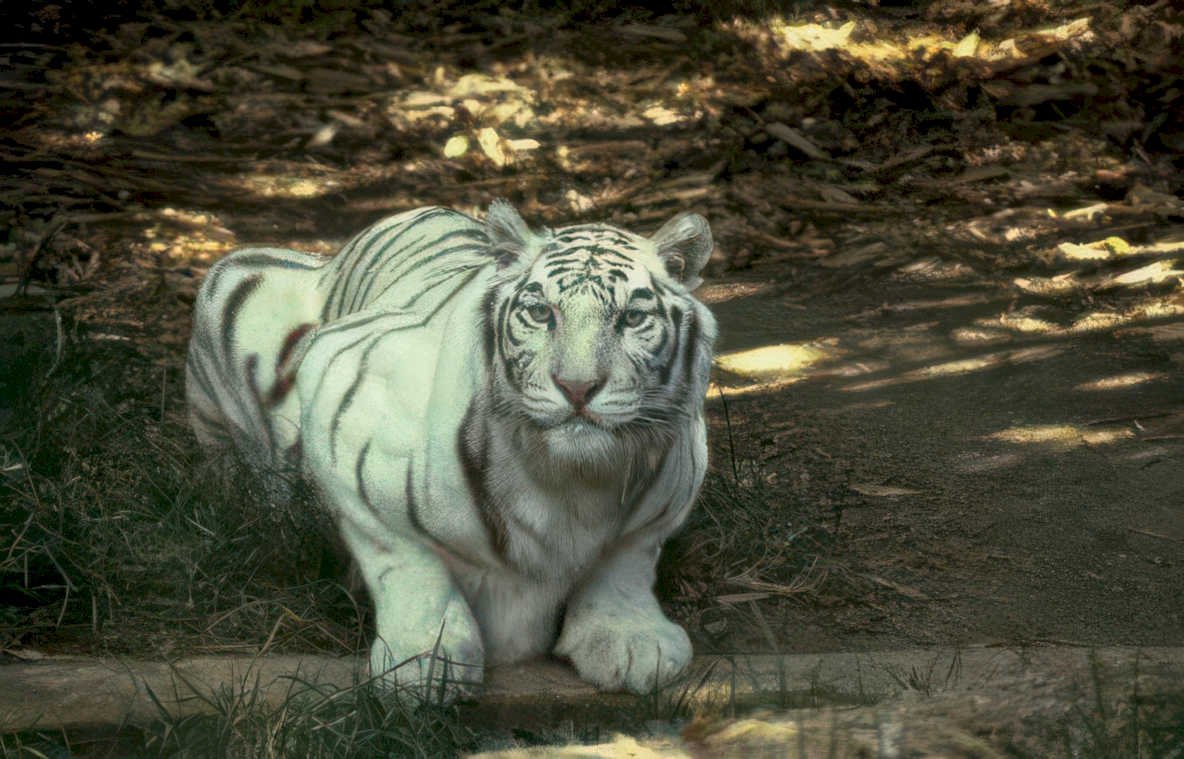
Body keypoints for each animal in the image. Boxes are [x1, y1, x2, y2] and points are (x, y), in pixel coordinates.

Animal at [185, 200, 717, 699]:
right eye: (541, 313)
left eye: (632, 318)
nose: (577, 387)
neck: (569, 478)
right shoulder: (342, 393)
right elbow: (406, 558)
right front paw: (424, 663)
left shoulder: (666, 496)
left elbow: (625, 559)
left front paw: (633, 642)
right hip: (234, 284)